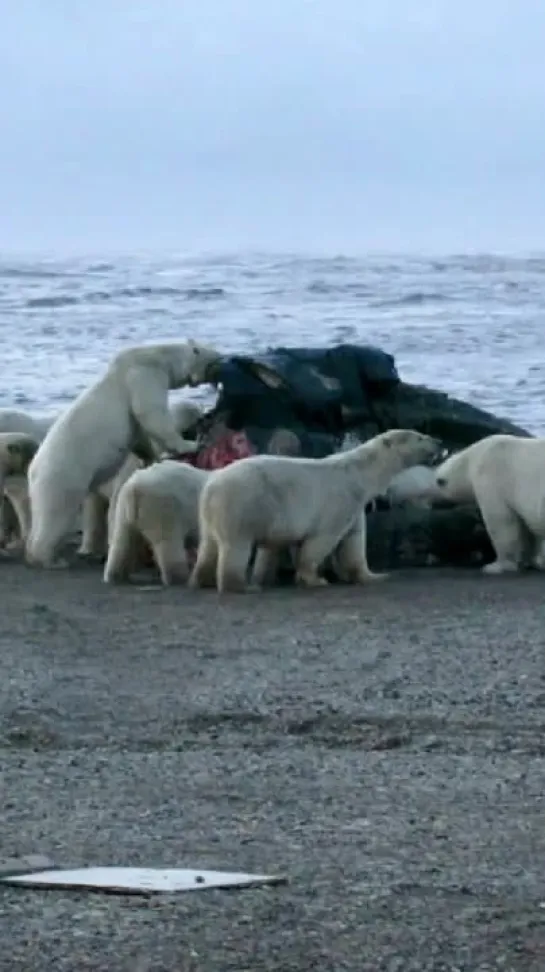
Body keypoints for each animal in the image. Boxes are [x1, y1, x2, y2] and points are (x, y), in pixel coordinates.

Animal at [25, 342, 221, 568]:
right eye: (216, 357)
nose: (224, 360)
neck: (156, 356)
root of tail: (33, 470)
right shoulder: (143, 377)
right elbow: (151, 413)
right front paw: (189, 444)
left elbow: (140, 436)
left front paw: (151, 457)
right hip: (64, 472)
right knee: (58, 512)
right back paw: (51, 559)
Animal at [189, 430, 440, 596]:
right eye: (419, 436)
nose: (438, 441)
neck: (360, 474)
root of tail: (210, 488)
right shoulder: (339, 501)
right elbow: (322, 540)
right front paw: (315, 580)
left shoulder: (355, 506)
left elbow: (353, 542)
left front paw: (375, 576)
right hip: (242, 505)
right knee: (236, 546)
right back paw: (243, 586)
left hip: (209, 516)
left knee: (208, 546)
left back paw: (201, 580)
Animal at [434, 434, 545, 576]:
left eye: (439, 482)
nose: (437, 502)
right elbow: (529, 527)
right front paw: (532, 562)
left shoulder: (492, 477)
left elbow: (501, 522)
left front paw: (496, 566)